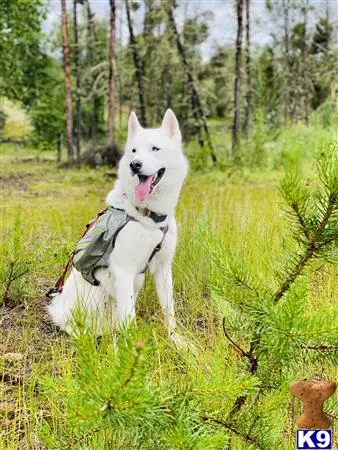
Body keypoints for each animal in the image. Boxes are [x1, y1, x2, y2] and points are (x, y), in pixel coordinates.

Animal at [47, 109, 189, 344]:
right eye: (133, 151)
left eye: (155, 148)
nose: (135, 165)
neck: (148, 218)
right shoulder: (124, 272)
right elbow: (130, 321)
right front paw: (132, 351)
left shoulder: (162, 269)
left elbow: (169, 311)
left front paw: (178, 341)